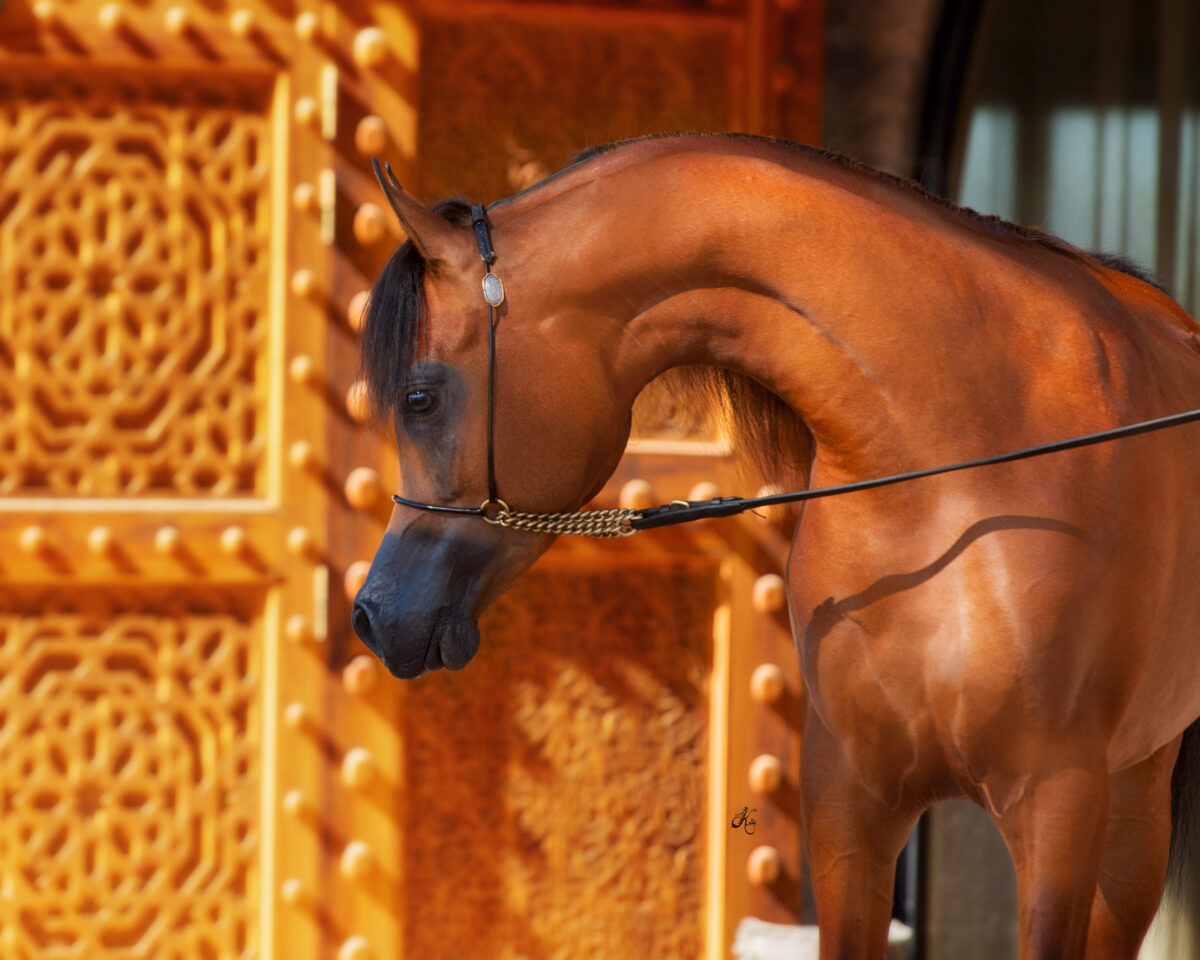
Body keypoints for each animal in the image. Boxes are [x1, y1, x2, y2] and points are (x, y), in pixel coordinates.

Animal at [351, 132, 1200, 959]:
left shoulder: (1056, 804)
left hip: (1131, 810)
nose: (371, 615)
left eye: (420, 397)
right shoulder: (849, 801)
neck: (964, 471)